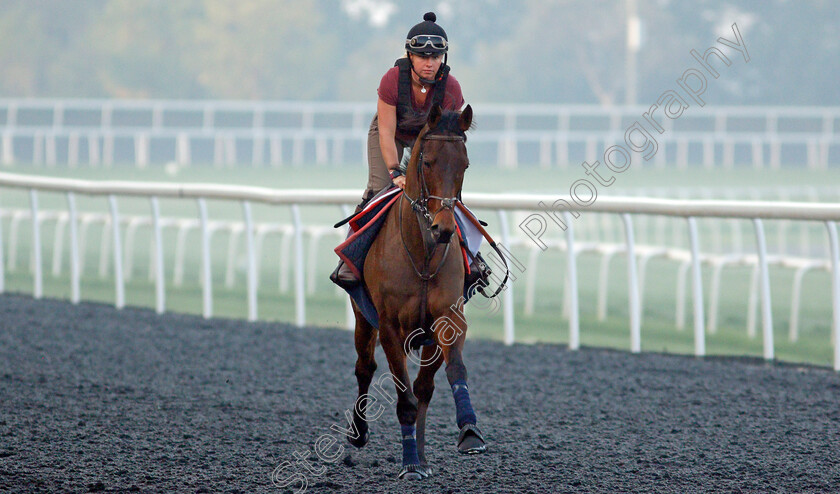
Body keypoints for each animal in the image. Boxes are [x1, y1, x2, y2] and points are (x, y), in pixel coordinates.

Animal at [342, 103, 486, 478]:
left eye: (465, 164)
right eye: (428, 162)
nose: (444, 228)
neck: (421, 254)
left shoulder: (449, 319)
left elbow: (451, 373)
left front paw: (468, 431)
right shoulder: (390, 327)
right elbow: (403, 397)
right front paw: (408, 464)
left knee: (424, 387)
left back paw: (422, 454)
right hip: (362, 317)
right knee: (365, 367)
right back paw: (359, 433)